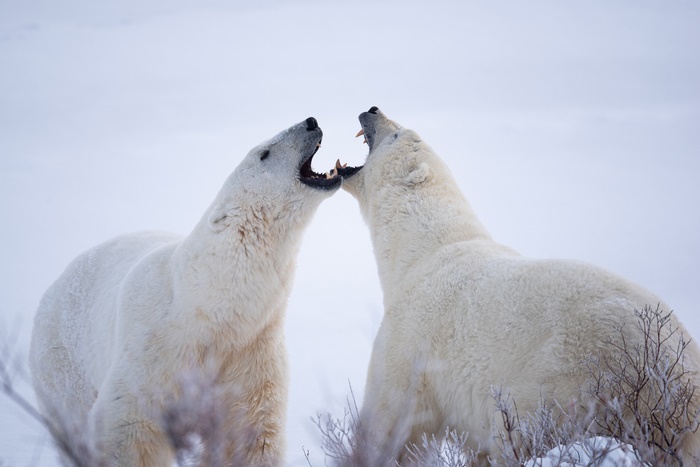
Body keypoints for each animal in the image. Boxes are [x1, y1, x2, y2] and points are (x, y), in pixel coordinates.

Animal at [29, 117, 343, 466]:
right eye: (264, 153)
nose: (311, 121)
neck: (209, 311)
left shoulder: (251, 355)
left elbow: (246, 437)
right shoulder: (150, 357)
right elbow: (129, 430)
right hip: (62, 363)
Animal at [337, 107, 700, 464]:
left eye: (398, 134)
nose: (372, 109)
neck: (422, 249)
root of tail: (680, 373)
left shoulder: (411, 339)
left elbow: (391, 418)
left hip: (569, 376)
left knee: (519, 429)